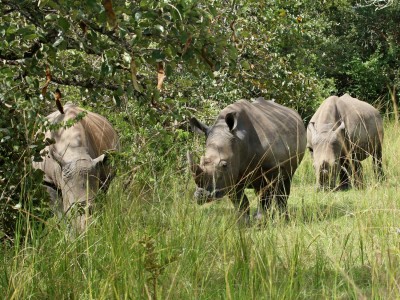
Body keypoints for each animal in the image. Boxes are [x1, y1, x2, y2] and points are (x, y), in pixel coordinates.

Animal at [32, 103, 119, 232]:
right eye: (71, 210)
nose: (85, 232)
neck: (75, 153)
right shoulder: (47, 180)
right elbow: (59, 210)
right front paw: (67, 233)